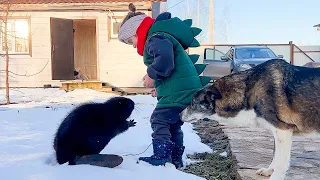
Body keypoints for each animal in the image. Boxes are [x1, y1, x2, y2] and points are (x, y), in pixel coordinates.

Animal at [181, 59, 320, 180]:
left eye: (193, 103)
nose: (179, 116)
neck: (250, 89)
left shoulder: (282, 130)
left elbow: (280, 163)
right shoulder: (278, 133)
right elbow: (275, 156)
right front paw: (269, 171)